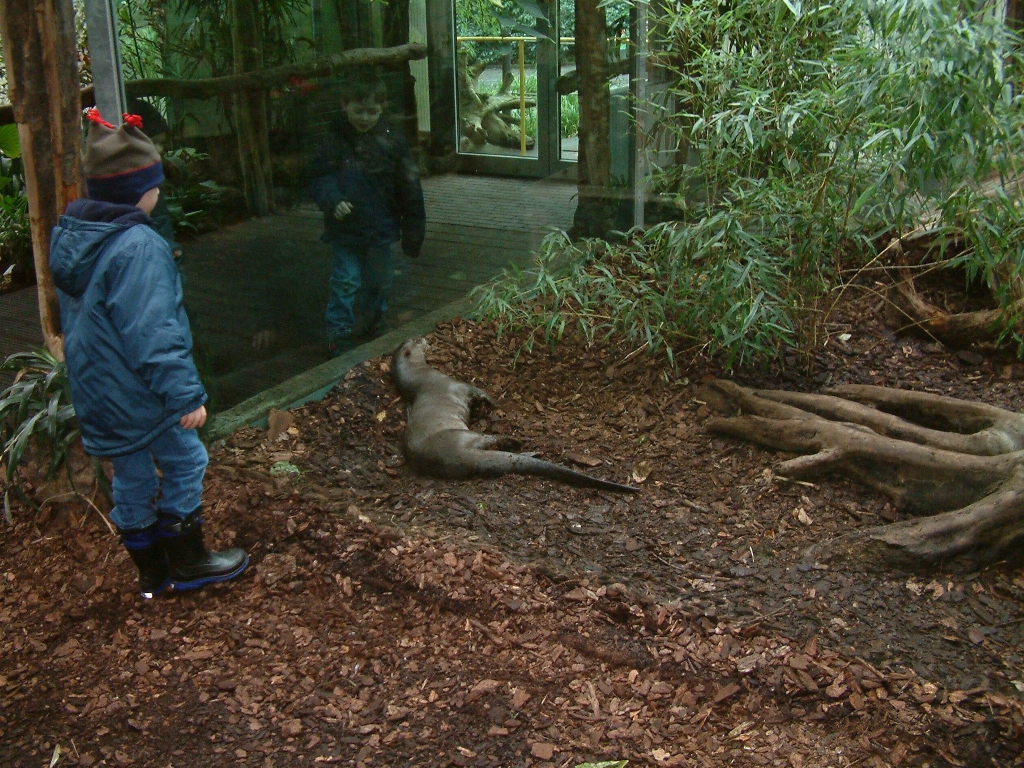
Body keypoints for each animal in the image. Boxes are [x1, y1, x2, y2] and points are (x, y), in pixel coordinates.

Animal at [391, 338, 638, 492]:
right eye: (416, 340)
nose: (424, 338)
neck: (422, 376)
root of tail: (456, 457)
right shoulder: (457, 385)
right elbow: (481, 393)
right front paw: (494, 403)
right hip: (461, 435)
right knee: (490, 440)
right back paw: (519, 443)